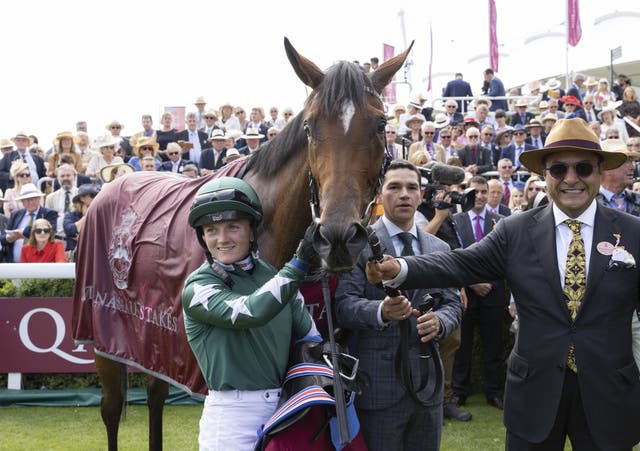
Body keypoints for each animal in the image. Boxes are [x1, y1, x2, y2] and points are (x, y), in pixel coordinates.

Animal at [74, 37, 416, 450]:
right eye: (309, 125)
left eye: (380, 124)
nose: (337, 236)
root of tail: (112, 183)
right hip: (103, 337)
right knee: (111, 409)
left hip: (154, 343)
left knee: (155, 395)